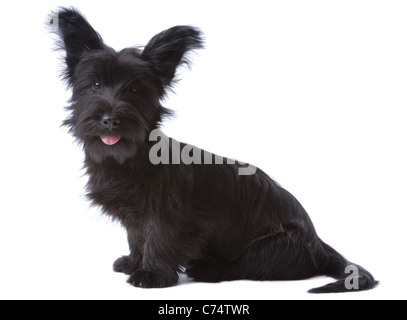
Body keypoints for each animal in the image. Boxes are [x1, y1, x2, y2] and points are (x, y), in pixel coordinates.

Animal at [51, 6, 380, 292]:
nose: (109, 120)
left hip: (274, 244)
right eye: (94, 85)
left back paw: (209, 270)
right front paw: (134, 262)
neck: (128, 159)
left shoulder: (170, 214)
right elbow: (137, 235)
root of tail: (318, 241)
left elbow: (158, 236)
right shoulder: (135, 218)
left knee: (248, 265)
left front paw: (152, 273)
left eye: (134, 89)